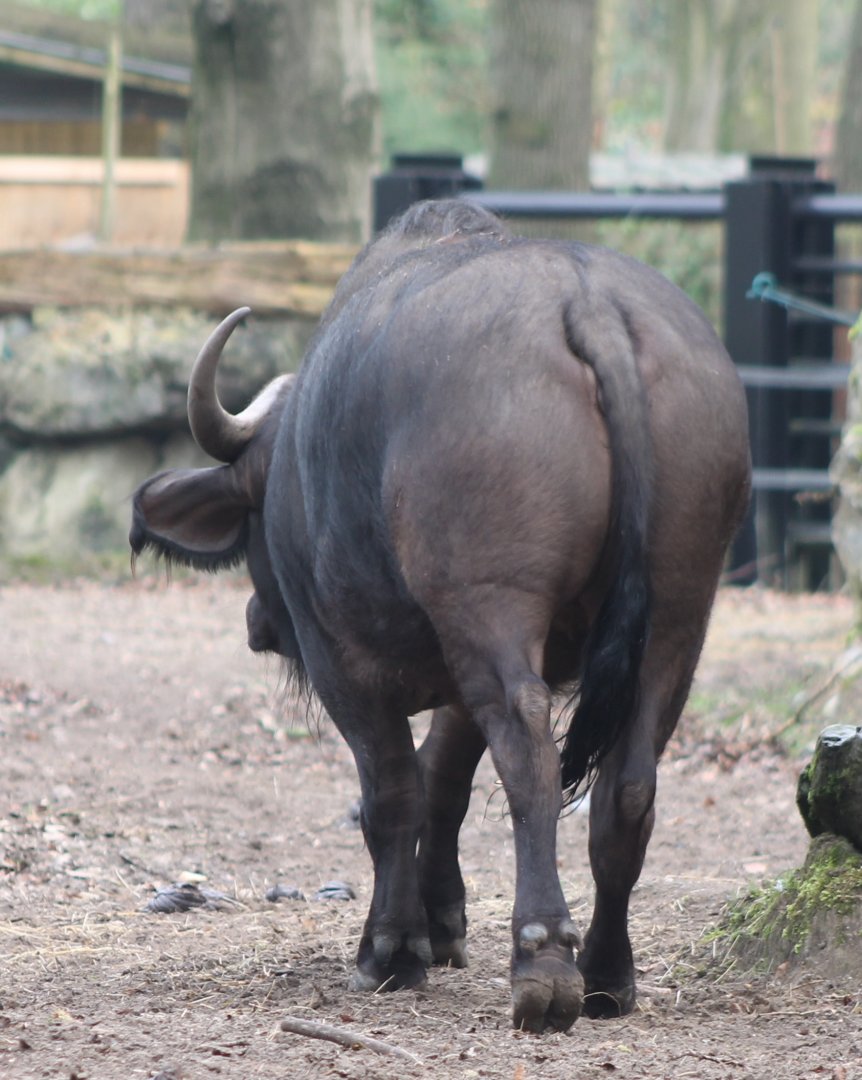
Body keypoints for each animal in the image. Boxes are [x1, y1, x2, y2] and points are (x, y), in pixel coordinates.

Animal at [130, 199, 751, 1032]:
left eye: (256, 513)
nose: (260, 622)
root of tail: (585, 302)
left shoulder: (347, 666)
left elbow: (393, 791)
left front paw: (392, 947)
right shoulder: (462, 671)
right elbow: (443, 781)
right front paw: (441, 920)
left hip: (490, 608)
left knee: (526, 749)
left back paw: (543, 963)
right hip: (678, 613)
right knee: (628, 783)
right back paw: (606, 973)